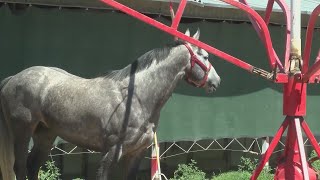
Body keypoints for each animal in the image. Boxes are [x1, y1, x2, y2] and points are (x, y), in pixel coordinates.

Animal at [0, 28, 220, 179]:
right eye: (205, 56)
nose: (216, 82)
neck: (137, 97)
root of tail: (13, 78)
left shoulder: (136, 153)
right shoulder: (111, 152)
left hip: (45, 134)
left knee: (32, 166)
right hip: (22, 131)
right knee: (20, 166)